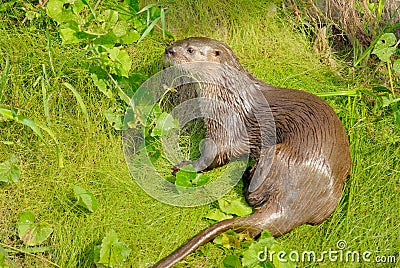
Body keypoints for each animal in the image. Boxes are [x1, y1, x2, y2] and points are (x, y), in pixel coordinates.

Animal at [153, 36, 350, 266]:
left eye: (190, 50)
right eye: (179, 41)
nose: (168, 50)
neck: (227, 93)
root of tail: (293, 204)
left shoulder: (226, 122)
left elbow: (216, 153)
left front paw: (186, 166)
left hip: (276, 155)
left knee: (253, 195)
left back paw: (247, 177)